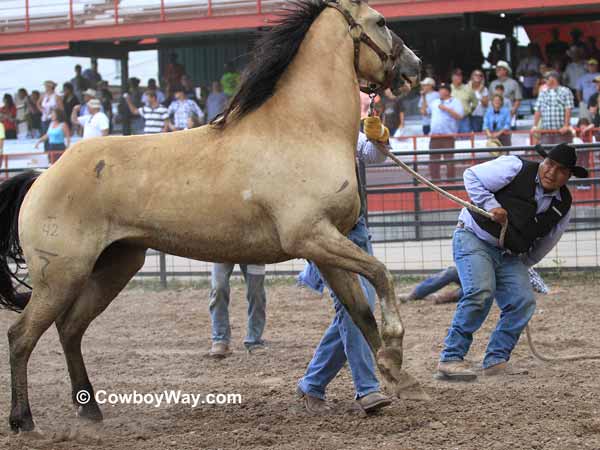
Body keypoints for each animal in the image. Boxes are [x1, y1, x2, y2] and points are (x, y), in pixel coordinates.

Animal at [0, 0, 422, 432]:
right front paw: (395, 352)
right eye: (381, 21)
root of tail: (43, 177)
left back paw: (90, 410)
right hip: (61, 275)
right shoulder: (312, 237)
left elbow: (360, 313)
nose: (414, 66)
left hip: (114, 267)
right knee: (21, 336)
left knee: (70, 329)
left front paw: (399, 378)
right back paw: (24, 420)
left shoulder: (326, 247)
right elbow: (381, 275)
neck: (301, 129)